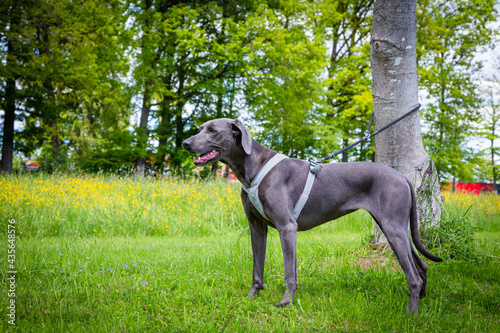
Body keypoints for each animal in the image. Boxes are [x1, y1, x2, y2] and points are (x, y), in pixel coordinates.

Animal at [183, 118, 442, 312]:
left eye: (213, 130)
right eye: (200, 128)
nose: (185, 143)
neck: (253, 167)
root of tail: (403, 177)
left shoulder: (287, 227)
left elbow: (289, 271)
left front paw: (286, 302)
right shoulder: (257, 227)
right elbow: (258, 267)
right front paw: (252, 297)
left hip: (392, 228)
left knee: (414, 275)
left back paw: (410, 314)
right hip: (395, 228)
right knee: (422, 266)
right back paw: (422, 303)